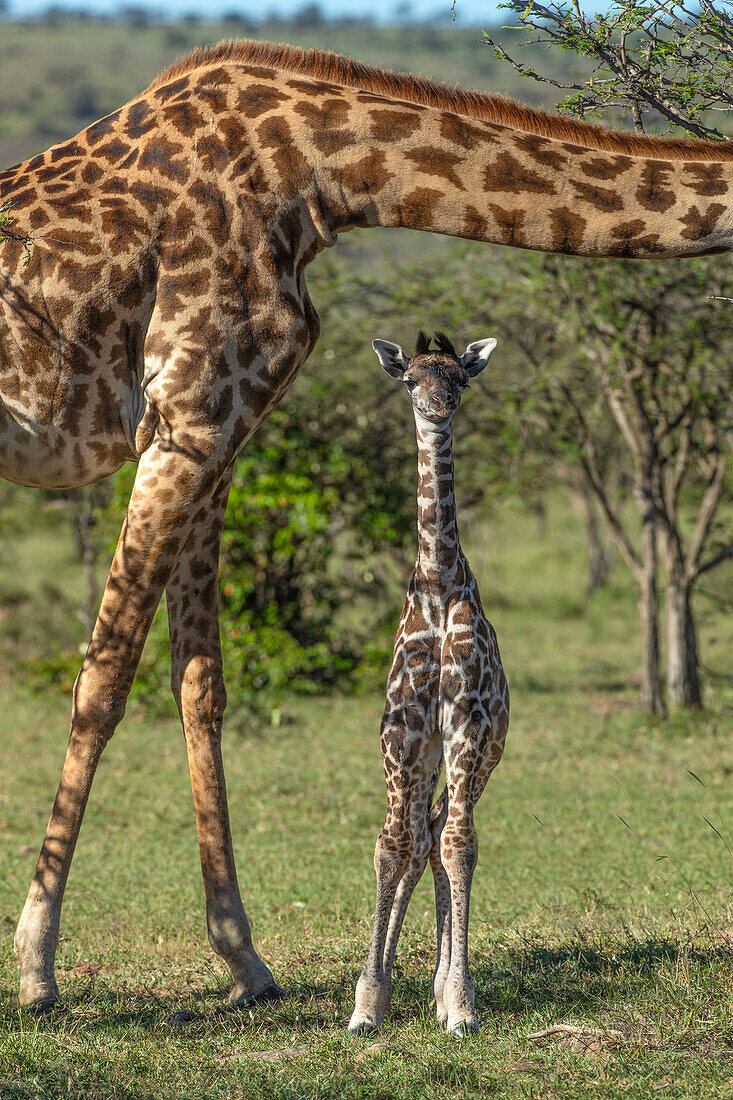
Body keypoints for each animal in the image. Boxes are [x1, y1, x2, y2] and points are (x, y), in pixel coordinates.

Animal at [1, 38, 730, 1016]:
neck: (320, 175)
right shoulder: (187, 417)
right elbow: (103, 681)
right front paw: (37, 964)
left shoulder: (214, 429)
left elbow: (200, 685)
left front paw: (243, 958)